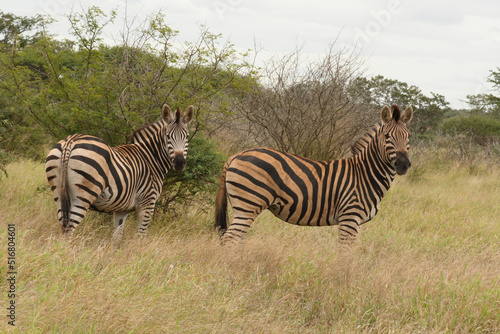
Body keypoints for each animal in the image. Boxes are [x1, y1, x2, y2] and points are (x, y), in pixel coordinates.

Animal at [45, 104, 193, 243]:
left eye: (187, 137)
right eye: (168, 136)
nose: (179, 163)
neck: (151, 158)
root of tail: (70, 142)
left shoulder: (122, 209)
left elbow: (116, 238)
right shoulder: (147, 203)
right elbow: (140, 236)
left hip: (59, 193)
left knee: (63, 228)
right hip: (83, 195)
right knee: (69, 231)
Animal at [215, 105, 414, 247]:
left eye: (408, 137)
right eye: (387, 136)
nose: (403, 164)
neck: (365, 174)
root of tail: (236, 155)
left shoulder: (355, 221)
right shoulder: (350, 217)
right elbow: (345, 253)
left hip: (244, 207)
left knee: (236, 238)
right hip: (248, 204)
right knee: (230, 238)